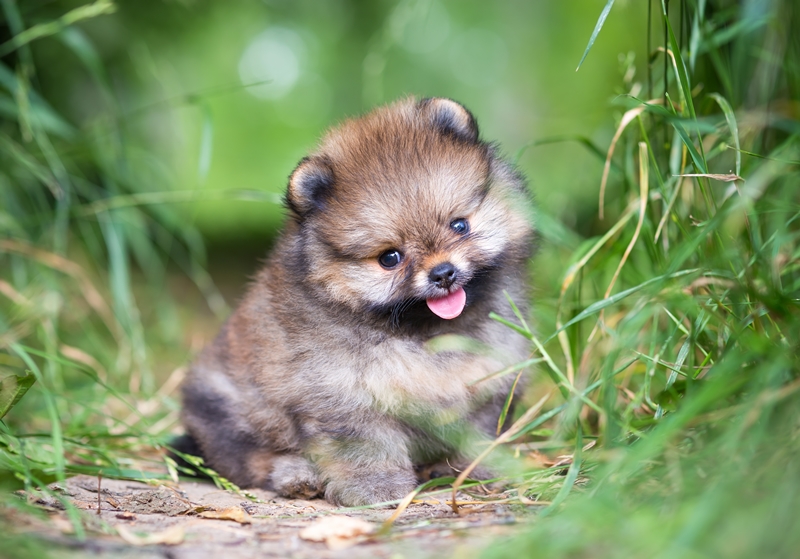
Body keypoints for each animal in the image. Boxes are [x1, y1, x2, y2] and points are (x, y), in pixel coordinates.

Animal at [178, 96, 536, 508]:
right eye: (390, 257)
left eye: (459, 225)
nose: (443, 273)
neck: (424, 335)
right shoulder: (345, 396)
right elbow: (366, 447)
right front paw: (376, 489)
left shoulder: (489, 379)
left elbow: (479, 432)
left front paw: (479, 470)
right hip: (227, 405)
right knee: (252, 457)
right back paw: (296, 475)